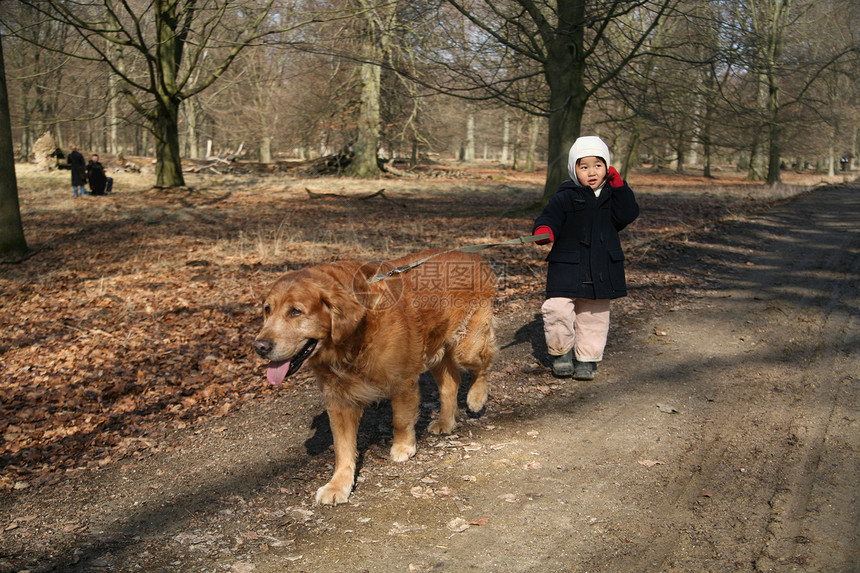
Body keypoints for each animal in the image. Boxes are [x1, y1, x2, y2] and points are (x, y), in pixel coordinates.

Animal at [252, 248, 498, 502]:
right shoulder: (339, 400)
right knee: (452, 382)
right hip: (436, 351)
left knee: (484, 363)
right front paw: (338, 484)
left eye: (295, 311)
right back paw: (446, 421)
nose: (259, 346)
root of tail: (476, 257)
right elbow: (342, 448)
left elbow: (400, 420)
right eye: (267, 310)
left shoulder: (402, 381)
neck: (352, 339)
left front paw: (403, 447)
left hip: (466, 347)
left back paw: (477, 398)